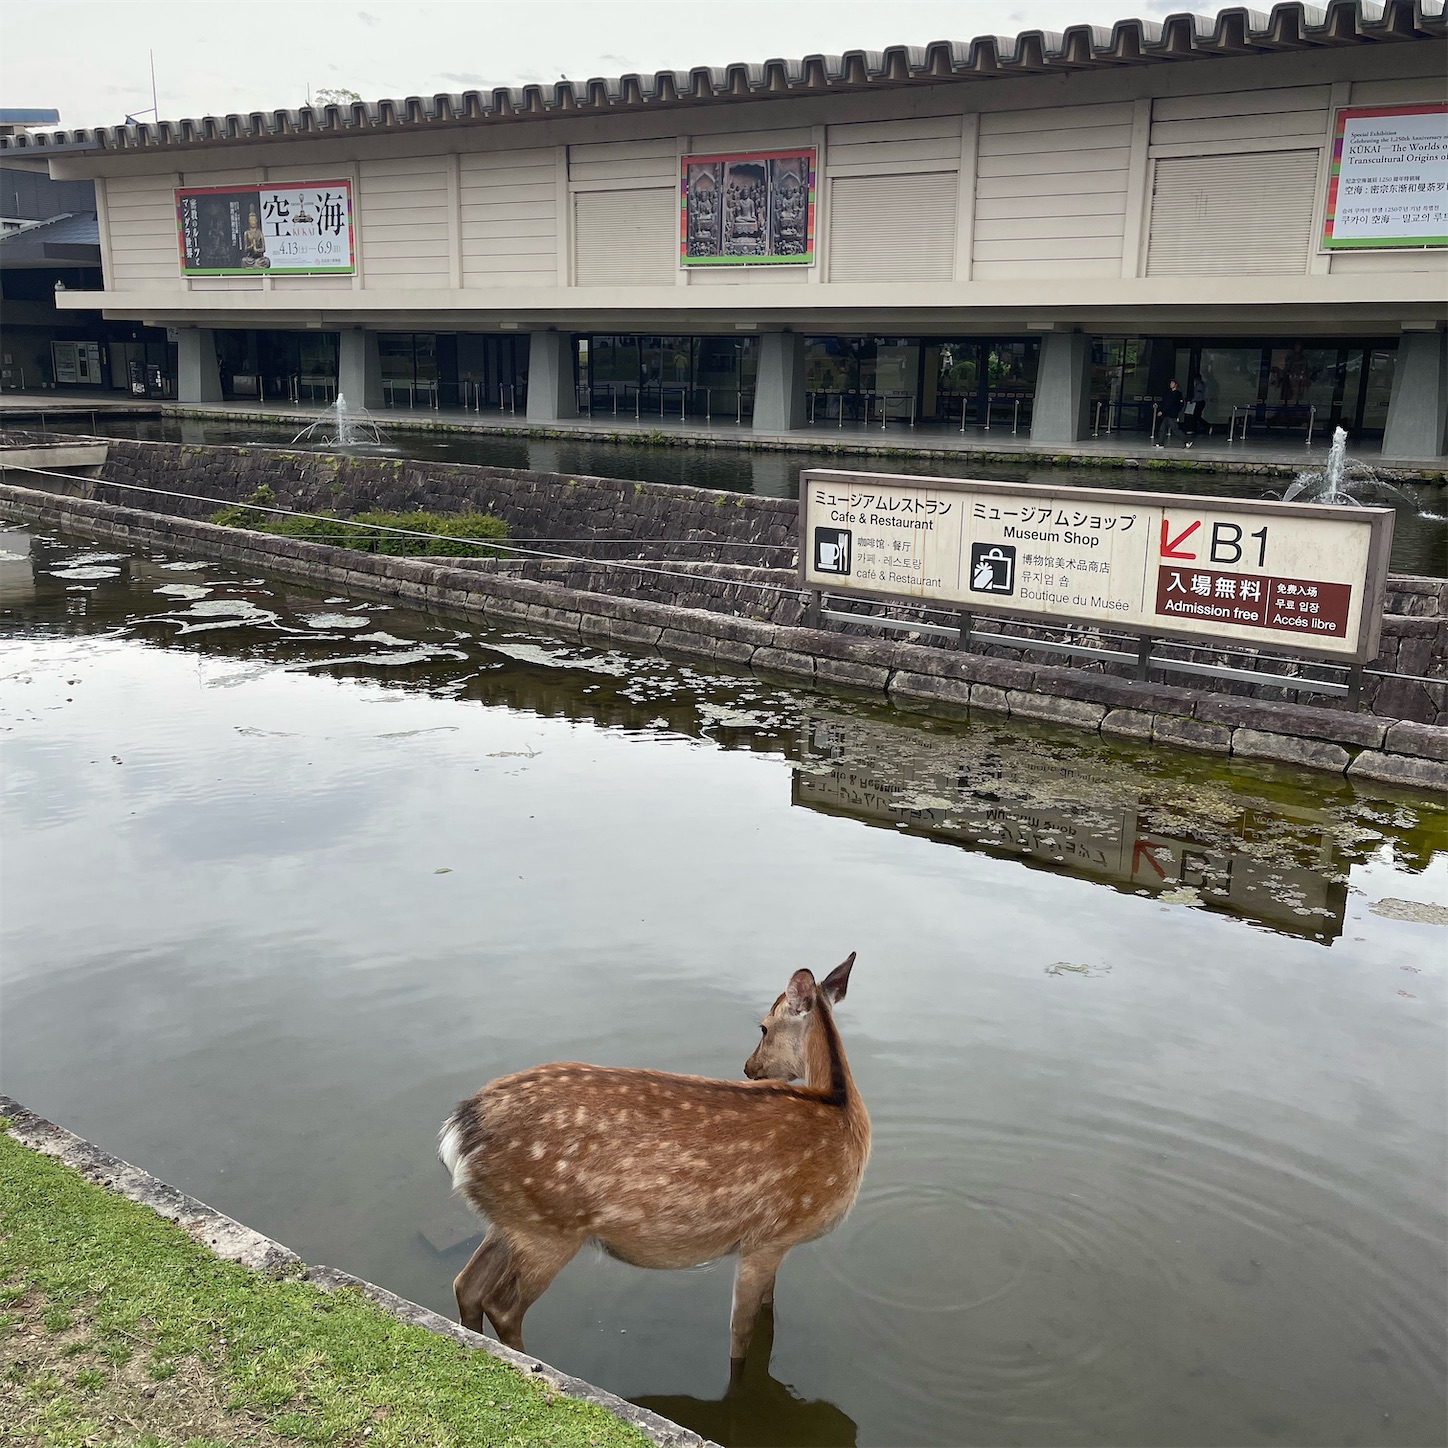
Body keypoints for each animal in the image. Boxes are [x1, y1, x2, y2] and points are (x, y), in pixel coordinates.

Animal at [437, 953, 869, 1366]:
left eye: (764, 1027)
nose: (749, 1068)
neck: (842, 1115)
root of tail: (457, 1132)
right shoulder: (768, 1237)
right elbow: (743, 1336)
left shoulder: (776, 1245)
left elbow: (767, 1312)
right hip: (547, 1228)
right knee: (502, 1305)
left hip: (509, 1219)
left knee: (467, 1284)